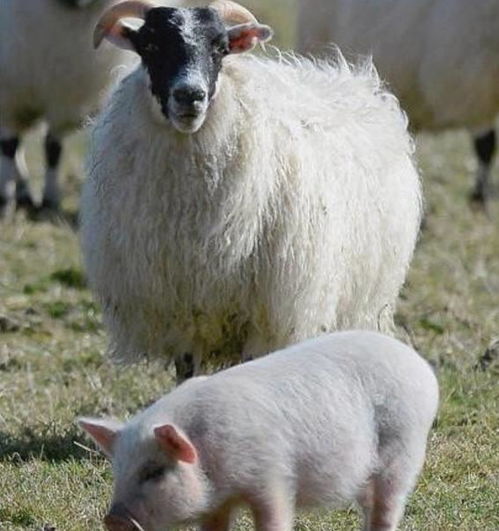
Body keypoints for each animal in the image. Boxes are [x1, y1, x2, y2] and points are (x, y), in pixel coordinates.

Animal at [80, 0, 424, 382]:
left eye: (220, 48)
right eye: (151, 46)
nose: (190, 96)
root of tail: (356, 81)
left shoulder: (266, 315)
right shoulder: (185, 311)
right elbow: (186, 371)